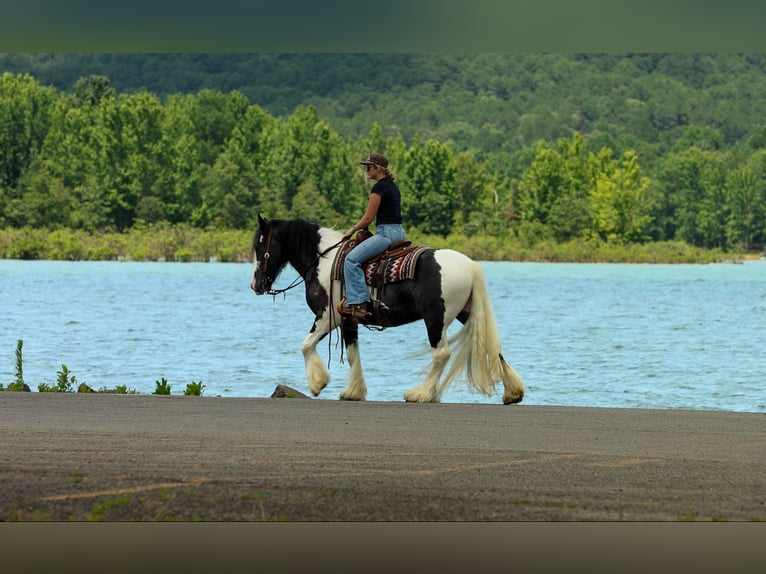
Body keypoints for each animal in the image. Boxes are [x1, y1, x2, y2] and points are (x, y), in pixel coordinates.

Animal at [249, 215, 525, 404]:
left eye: (260, 246)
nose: (255, 284)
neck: (324, 262)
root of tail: (468, 264)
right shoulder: (349, 319)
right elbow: (353, 355)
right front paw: (354, 391)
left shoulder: (328, 317)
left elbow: (306, 344)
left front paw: (318, 383)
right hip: (464, 313)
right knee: (493, 348)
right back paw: (513, 392)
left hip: (436, 318)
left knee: (441, 354)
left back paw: (420, 393)